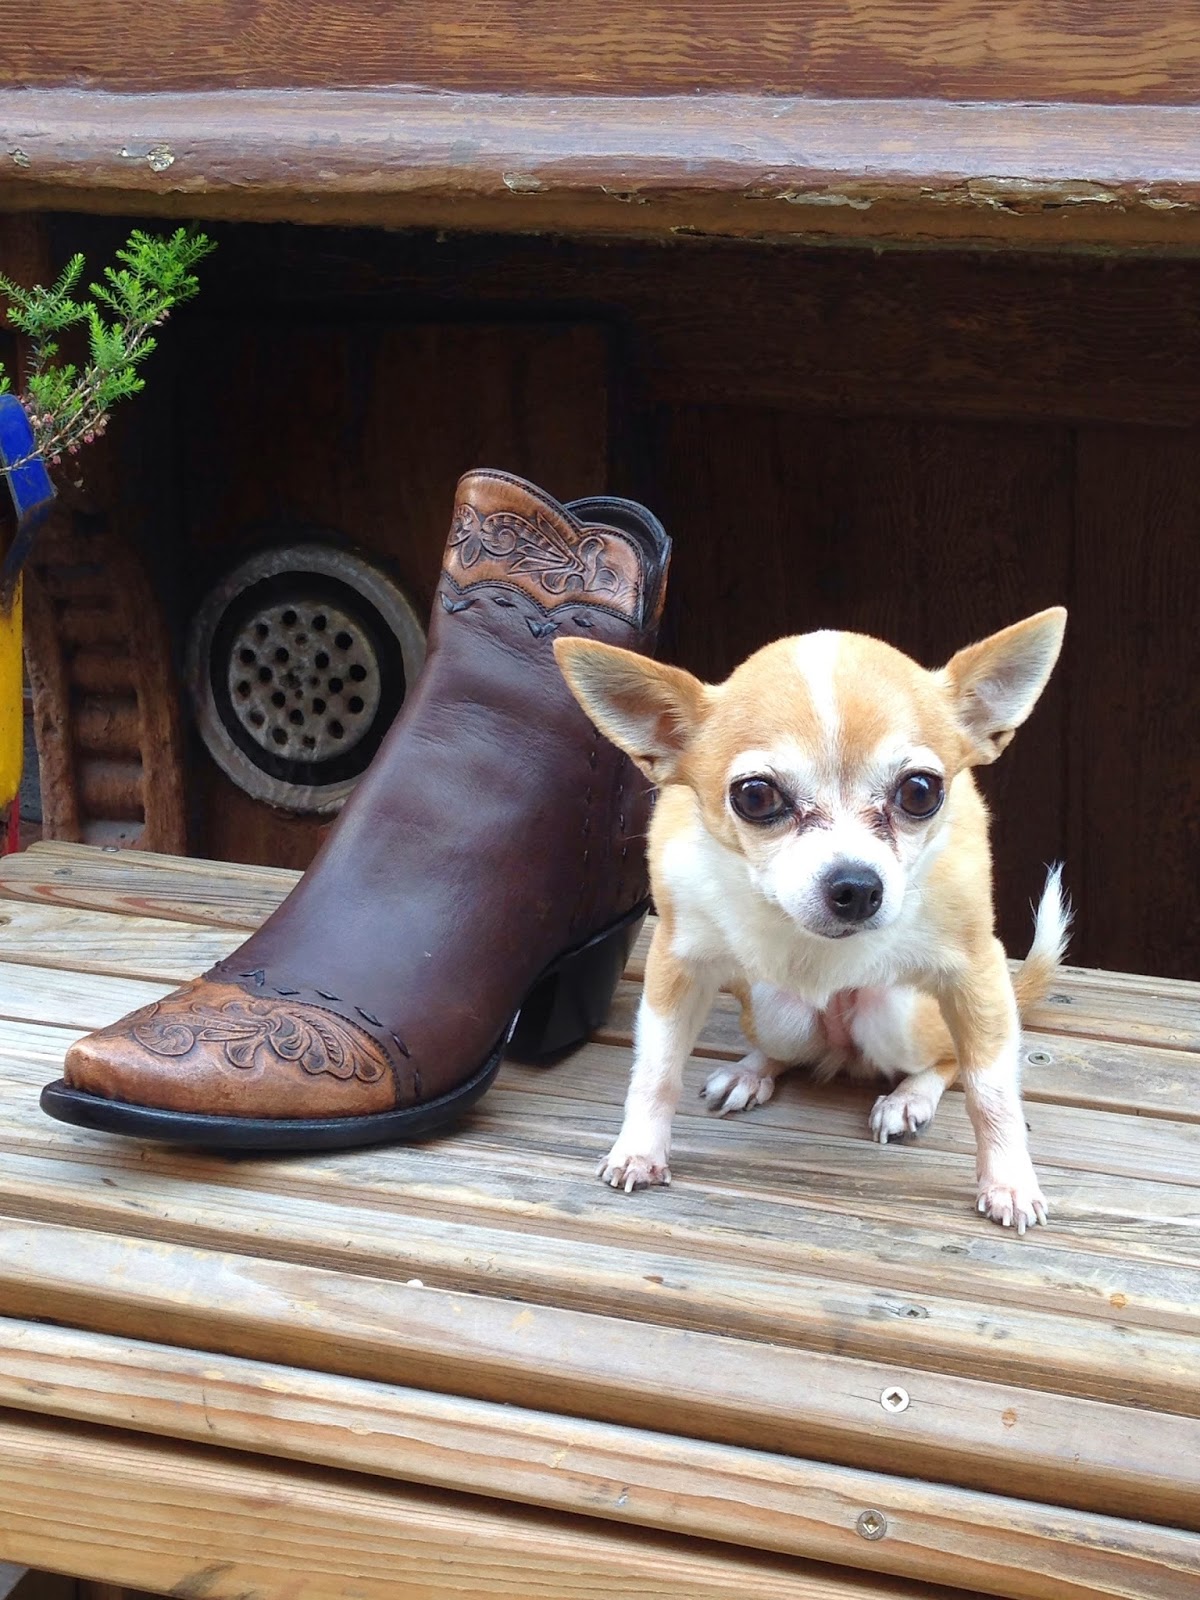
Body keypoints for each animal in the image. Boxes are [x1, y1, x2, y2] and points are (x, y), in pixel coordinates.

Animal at [553, 604, 1068, 1228]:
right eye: (755, 797)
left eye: (921, 791)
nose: (857, 886)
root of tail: (839, 1051)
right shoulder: (677, 965)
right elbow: (654, 1070)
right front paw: (639, 1149)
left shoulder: (977, 972)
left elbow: (991, 1091)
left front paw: (1009, 1180)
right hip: (775, 1009)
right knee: (784, 1049)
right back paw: (752, 1071)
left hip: (897, 1015)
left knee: (947, 1057)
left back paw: (910, 1096)